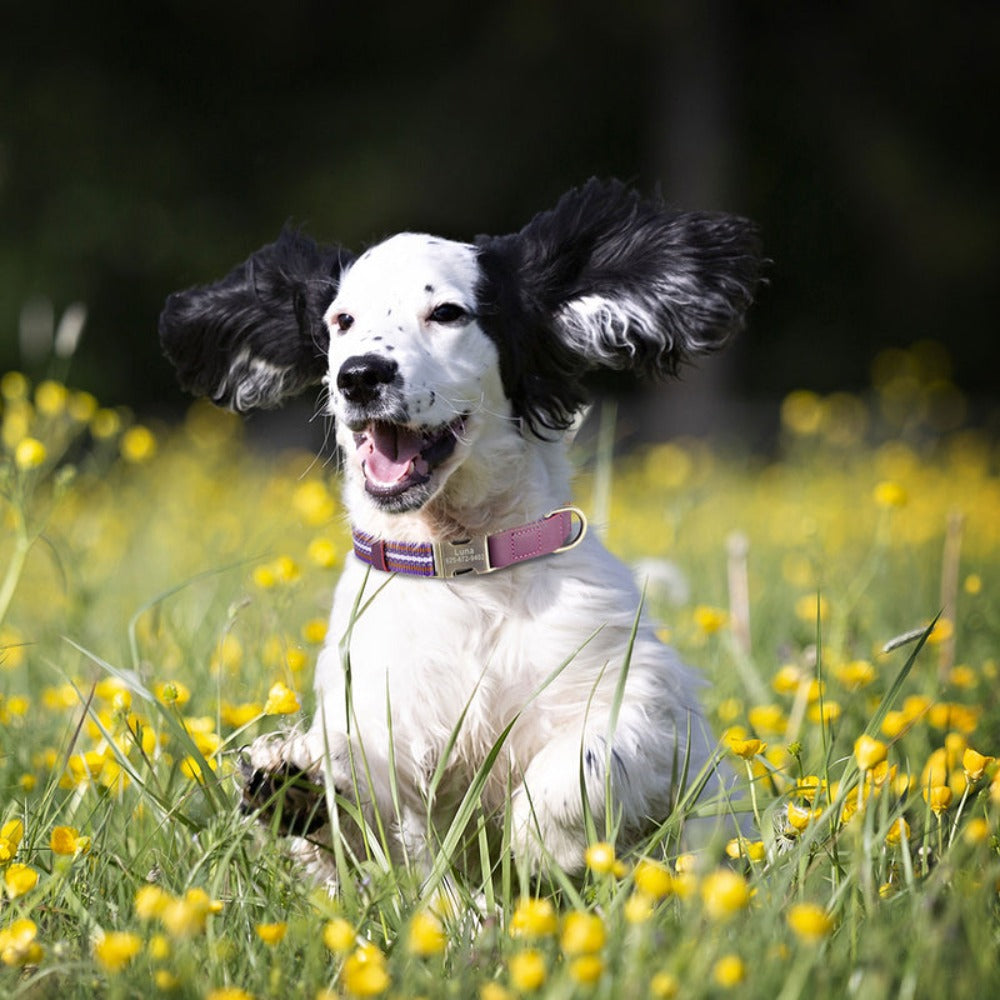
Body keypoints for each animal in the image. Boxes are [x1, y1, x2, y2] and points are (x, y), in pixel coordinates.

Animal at [160, 182, 760, 884]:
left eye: (447, 313)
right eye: (341, 321)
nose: (359, 375)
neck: (463, 564)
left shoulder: (643, 702)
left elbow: (582, 760)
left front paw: (544, 844)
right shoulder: (381, 718)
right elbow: (368, 817)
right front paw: (295, 785)